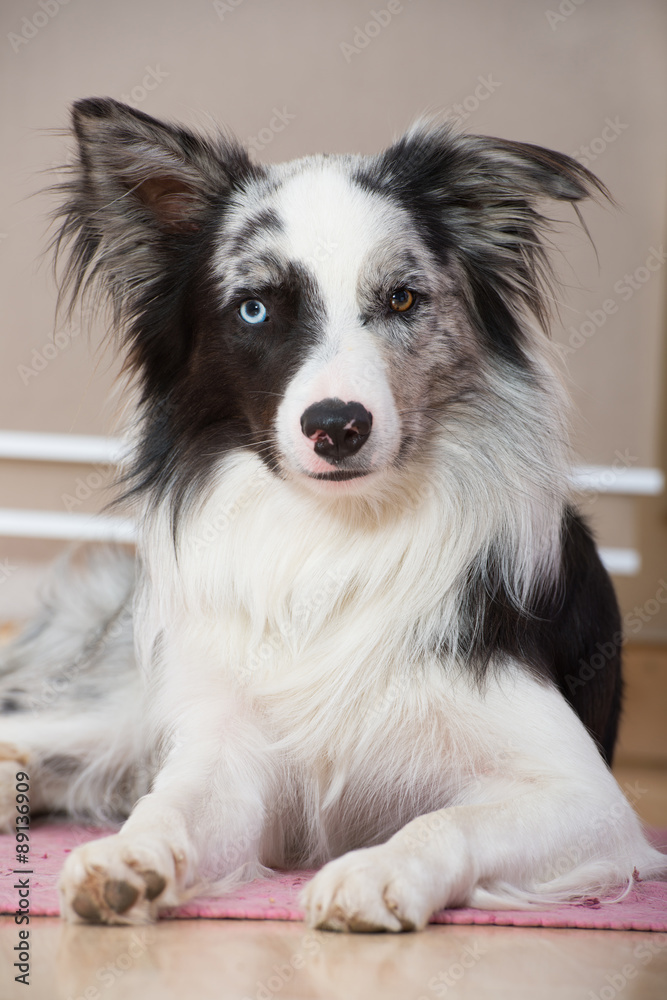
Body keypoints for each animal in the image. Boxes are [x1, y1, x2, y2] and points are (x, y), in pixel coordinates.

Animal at [2, 97, 664, 932]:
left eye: (402, 298)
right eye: (254, 309)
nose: (336, 426)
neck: (337, 533)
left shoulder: (586, 798)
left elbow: (448, 819)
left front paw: (375, 872)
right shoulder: (232, 753)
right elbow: (168, 804)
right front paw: (127, 858)